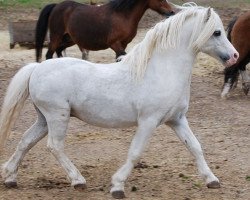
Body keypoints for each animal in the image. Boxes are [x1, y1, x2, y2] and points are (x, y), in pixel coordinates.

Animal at [35, 0, 175, 61]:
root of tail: (56, 6)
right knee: (49, 55)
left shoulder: (123, 44)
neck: (122, 15)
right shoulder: (114, 44)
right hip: (56, 37)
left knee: (58, 51)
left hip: (69, 39)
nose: (171, 12)